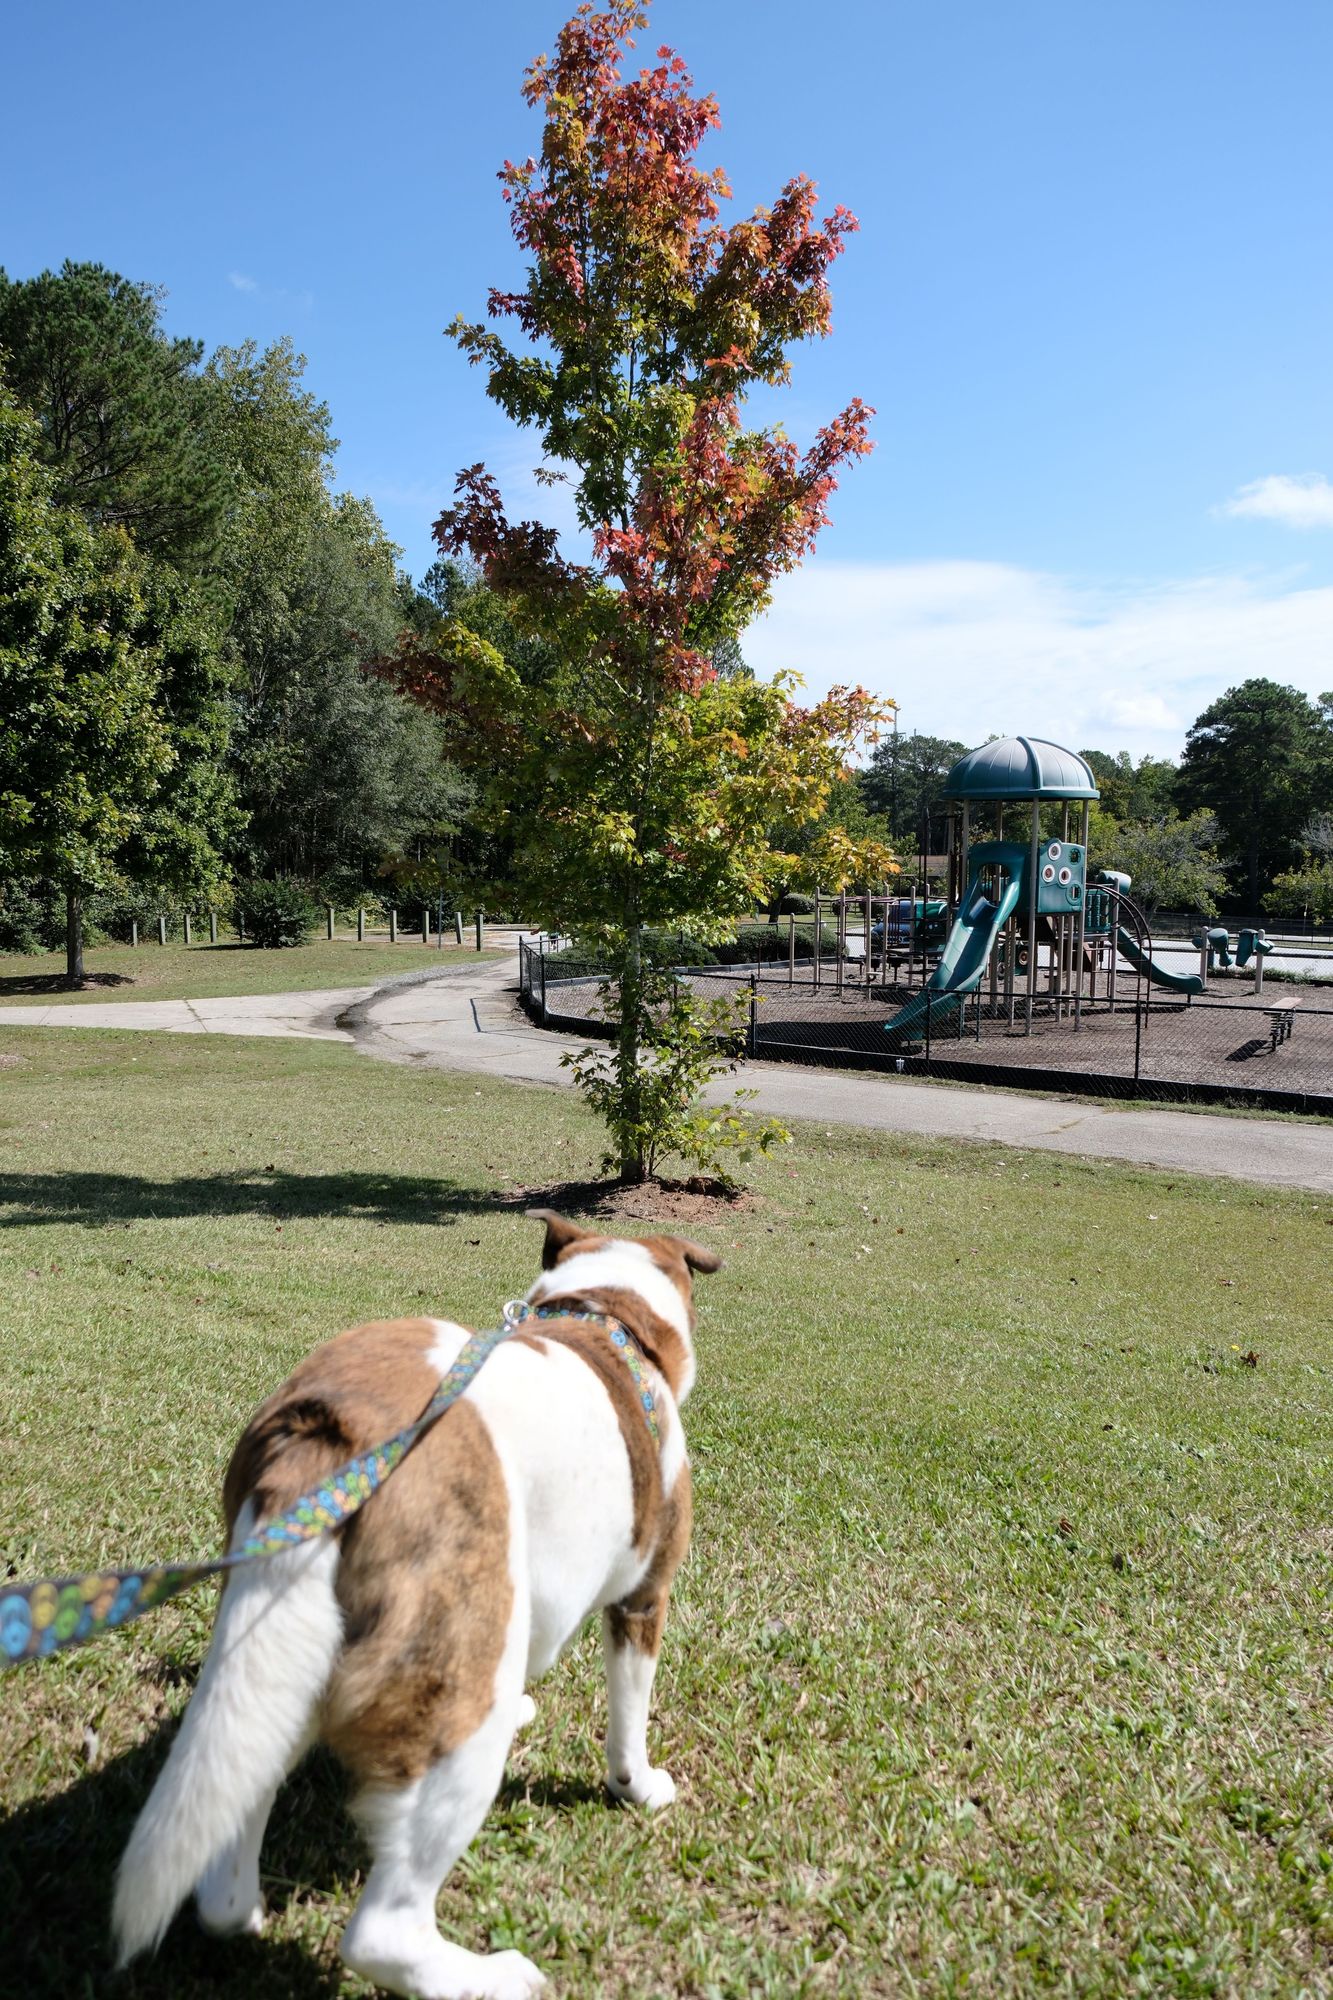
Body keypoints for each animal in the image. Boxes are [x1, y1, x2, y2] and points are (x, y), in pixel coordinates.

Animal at [111, 1208, 716, 1992]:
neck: (602, 1314)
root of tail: (330, 1441)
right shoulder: (643, 1597)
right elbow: (629, 1716)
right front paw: (638, 1785)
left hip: (284, 1666)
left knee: (227, 1859)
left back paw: (239, 1907)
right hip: (456, 1709)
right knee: (383, 1931)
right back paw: (495, 1976)